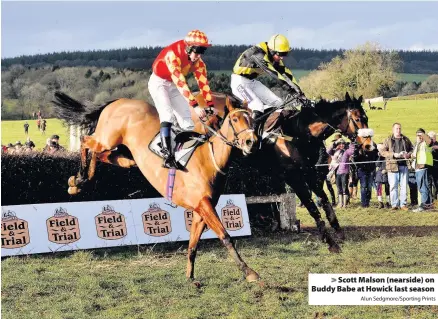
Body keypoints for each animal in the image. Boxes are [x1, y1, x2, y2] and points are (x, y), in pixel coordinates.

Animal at [53, 92, 262, 284]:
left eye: (251, 118)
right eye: (235, 119)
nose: (252, 142)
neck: (209, 159)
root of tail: (118, 101)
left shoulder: (200, 210)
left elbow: (193, 244)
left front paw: (190, 276)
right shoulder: (204, 204)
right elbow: (225, 236)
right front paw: (249, 272)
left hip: (122, 153)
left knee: (102, 155)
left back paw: (78, 182)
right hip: (107, 139)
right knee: (85, 141)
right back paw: (77, 180)